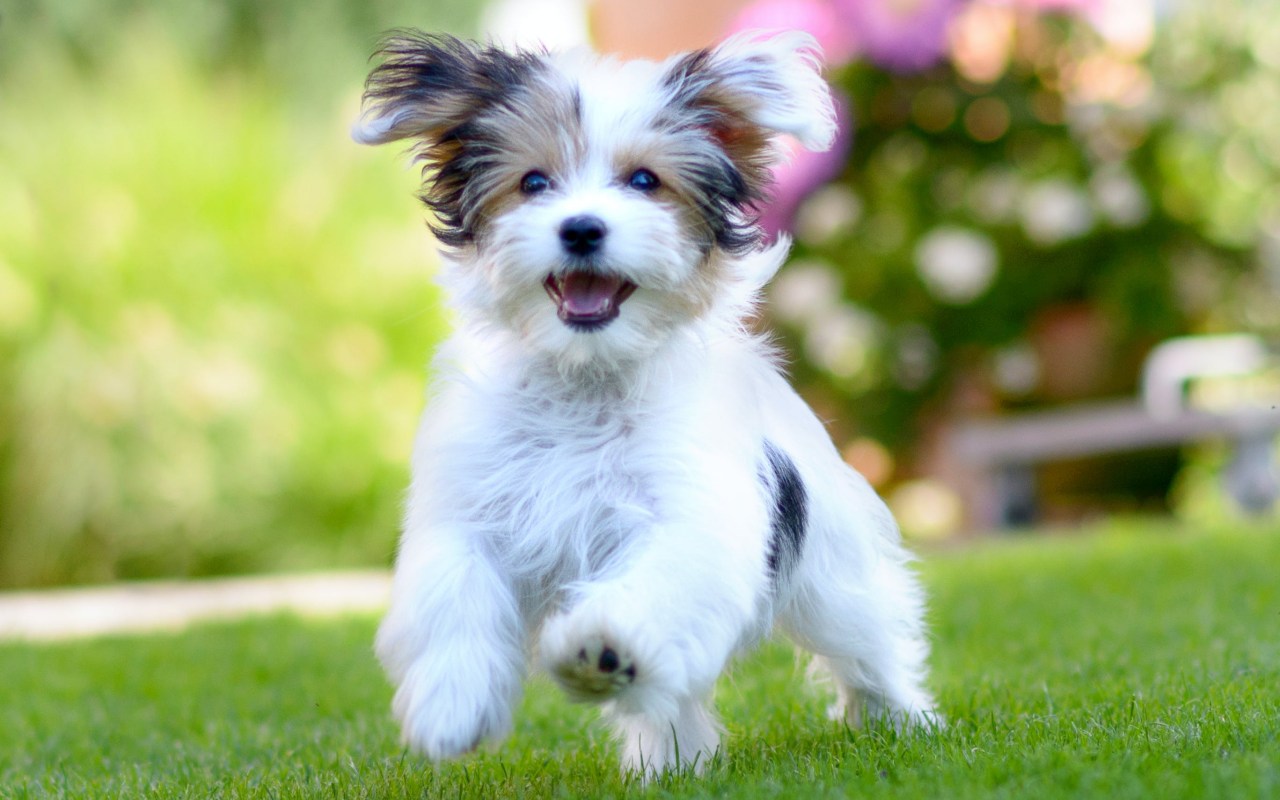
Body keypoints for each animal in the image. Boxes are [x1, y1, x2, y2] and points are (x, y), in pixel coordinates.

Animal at [355, 29, 936, 773]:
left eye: (644, 182)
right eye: (534, 182)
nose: (580, 229)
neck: (587, 375)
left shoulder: (692, 516)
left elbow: (659, 580)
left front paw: (602, 647)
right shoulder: (470, 508)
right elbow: (457, 593)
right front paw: (450, 704)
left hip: (833, 573)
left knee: (866, 638)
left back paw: (901, 718)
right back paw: (673, 759)